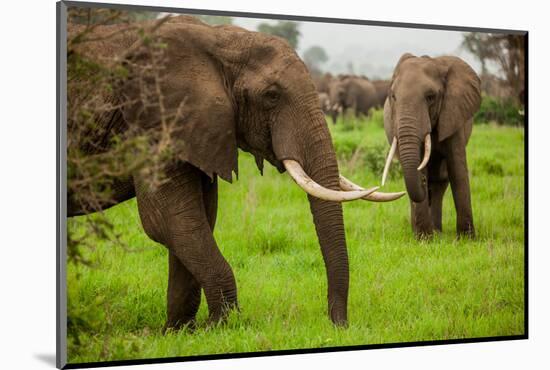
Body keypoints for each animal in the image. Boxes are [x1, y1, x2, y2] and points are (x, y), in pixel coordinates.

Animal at [69, 15, 406, 330]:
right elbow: (168, 221)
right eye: (271, 95)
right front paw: (218, 326)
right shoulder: (151, 122)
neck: (218, 41)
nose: (339, 325)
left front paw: (180, 332)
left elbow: (197, 219)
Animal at [384, 52, 484, 237]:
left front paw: (467, 238)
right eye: (393, 97)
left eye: (430, 97)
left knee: (440, 181)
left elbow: (457, 170)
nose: (423, 182)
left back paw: (438, 231)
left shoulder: (453, 114)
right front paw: (424, 238)